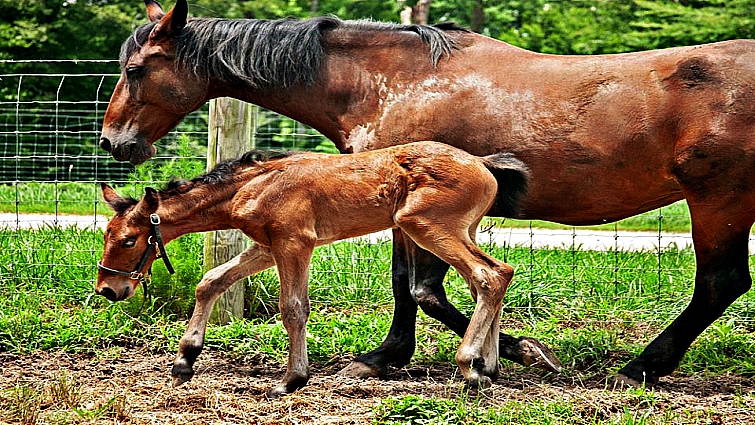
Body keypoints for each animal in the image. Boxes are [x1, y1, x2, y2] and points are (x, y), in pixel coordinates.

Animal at [96, 141, 530, 397]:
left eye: (128, 240)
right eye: (106, 233)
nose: (107, 289)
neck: (250, 187)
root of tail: (482, 162)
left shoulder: (294, 243)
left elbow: (293, 309)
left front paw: (291, 380)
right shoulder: (266, 246)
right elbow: (211, 281)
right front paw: (184, 361)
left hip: (426, 226)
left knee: (488, 275)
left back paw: (470, 366)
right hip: (461, 229)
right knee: (493, 277)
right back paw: (489, 365)